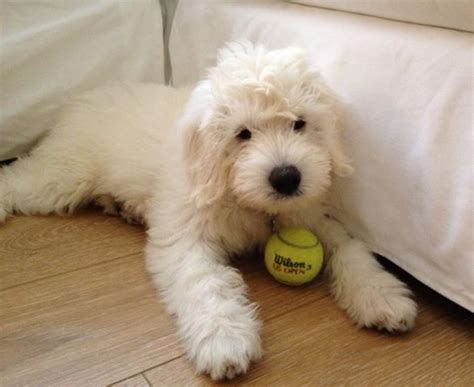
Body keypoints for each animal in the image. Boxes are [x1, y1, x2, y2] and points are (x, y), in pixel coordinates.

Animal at [0, 41, 414, 378]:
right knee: (20, 179)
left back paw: (122, 207)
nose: (287, 178)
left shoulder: (311, 216)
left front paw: (381, 296)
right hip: (62, 176)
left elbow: (350, 249)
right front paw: (225, 339)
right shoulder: (186, 235)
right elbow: (205, 283)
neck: (244, 198)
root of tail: (82, 98)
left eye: (299, 123)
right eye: (242, 133)